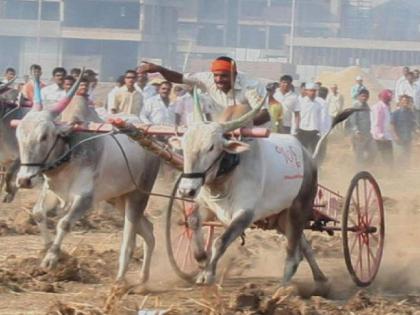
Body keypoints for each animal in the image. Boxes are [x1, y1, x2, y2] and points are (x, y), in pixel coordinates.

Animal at [15, 76, 160, 284]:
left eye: (44, 136)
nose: (24, 180)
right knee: (148, 230)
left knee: (129, 238)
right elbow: (38, 213)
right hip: (118, 199)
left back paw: (120, 279)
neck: (69, 151)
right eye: (19, 135)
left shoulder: (85, 198)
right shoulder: (52, 192)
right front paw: (50, 249)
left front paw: (51, 259)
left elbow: (64, 223)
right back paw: (142, 278)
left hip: (138, 195)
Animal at [169, 92, 356, 288]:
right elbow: (192, 222)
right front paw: (202, 260)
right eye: (184, 145)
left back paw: (283, 288)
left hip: (299, 208)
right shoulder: (207, 206)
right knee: (303, 246)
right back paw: (320, 278)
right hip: (282, 218)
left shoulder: (245, 214)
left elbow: (220, 242)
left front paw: (208, 274)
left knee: (292, 253)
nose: (186, 190)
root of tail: (309, 158)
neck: (230, 169)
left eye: (211, 147)